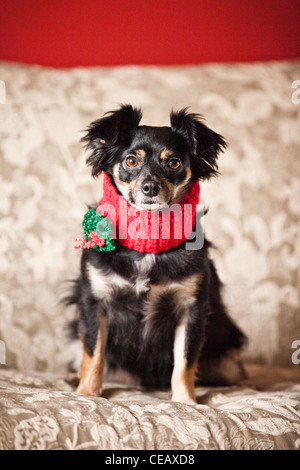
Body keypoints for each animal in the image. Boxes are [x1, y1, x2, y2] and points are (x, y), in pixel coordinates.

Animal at [67, 105, 247, 404]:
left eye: (173, 163)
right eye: (131, 161)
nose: (150, 187)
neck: (148, 244)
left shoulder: (191, 308)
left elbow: (185, 360)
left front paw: (185, 401)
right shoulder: (95, 301)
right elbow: (93, 353)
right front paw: (87, 393)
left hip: (227, 364)